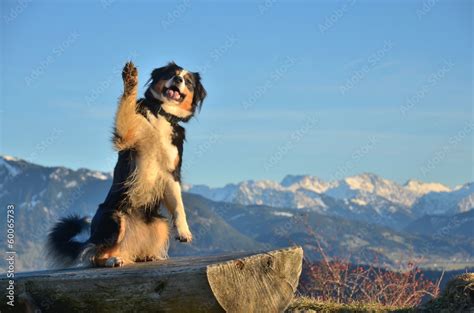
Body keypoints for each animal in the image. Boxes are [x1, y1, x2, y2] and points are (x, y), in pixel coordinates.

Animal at [45, 61, 206, 266]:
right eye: (171, 73)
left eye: (188, 81)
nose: (178, 79)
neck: (161, 114)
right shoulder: (127, 135)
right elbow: (127, 104)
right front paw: (130, 79)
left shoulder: (171, 173)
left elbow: (179, 206)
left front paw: (184, 231)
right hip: (115, 217)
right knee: (95, 254)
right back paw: (112, 260)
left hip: (159, 223)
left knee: (128, 252)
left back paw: (146, 256)